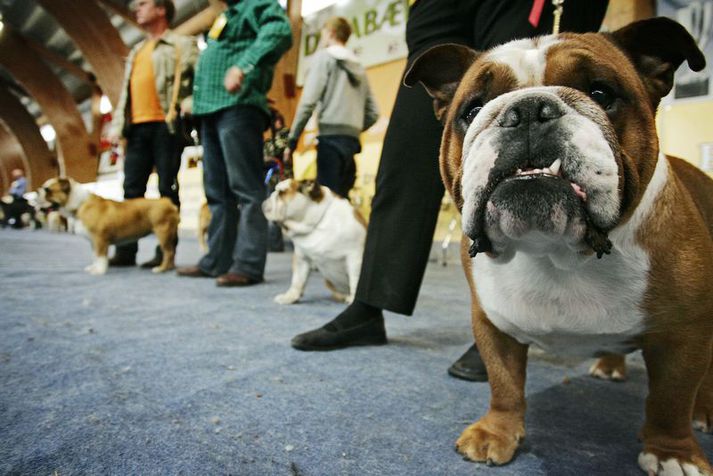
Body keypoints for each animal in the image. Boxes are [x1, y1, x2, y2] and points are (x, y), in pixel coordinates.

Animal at [37, 178, 179, 276]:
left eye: (47, 190)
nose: (38, 193)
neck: (80, 204)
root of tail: (168, 202)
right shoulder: (93, 242)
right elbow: (95, 256)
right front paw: (93, 267)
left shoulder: (99, 240)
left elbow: (100, 256)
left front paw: (99, 271)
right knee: (171, 252)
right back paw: (169, 267)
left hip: (163, 232)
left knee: (168, 252)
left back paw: (161, 268)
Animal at [406, 16, 712, 474]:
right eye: (472, 110)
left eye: (601, 93)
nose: (528, 111)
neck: (555, 251)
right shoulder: (491, 322)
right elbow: (504, 383)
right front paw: (496, 432)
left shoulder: (684, 334)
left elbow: (670, 400)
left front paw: (672, 452)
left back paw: (703, 412)